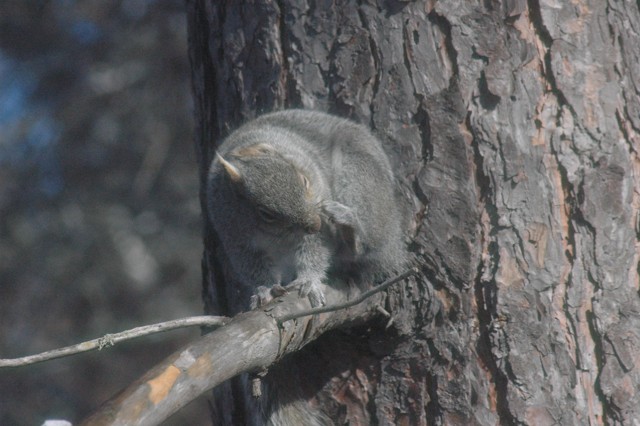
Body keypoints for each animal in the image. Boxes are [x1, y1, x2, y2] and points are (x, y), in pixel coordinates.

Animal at [206, 109, 406, 424]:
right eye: (266, 213)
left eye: (303, 179)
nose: (314, 223)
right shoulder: (237, 240)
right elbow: (254, 269)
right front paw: (264, 291)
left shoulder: (317, 227)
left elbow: (315, 252)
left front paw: (309, 282)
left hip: (361, 179)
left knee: (366, 244)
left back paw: (349, 226)